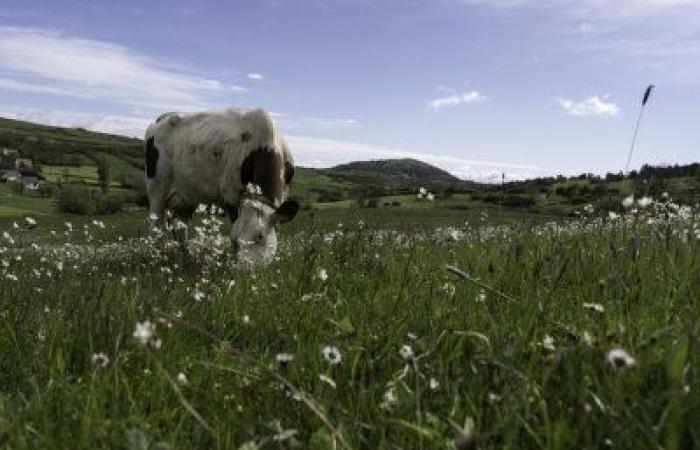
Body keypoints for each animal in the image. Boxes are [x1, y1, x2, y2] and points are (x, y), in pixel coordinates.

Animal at [146, 107, 300, 266]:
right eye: (235, 240)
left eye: (260, 236)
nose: (243, 269)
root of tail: (165, 117)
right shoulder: (230, 194)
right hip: (157, 190)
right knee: (155, 226)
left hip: (186, 197)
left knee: (180, 228)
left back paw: (186, 256)